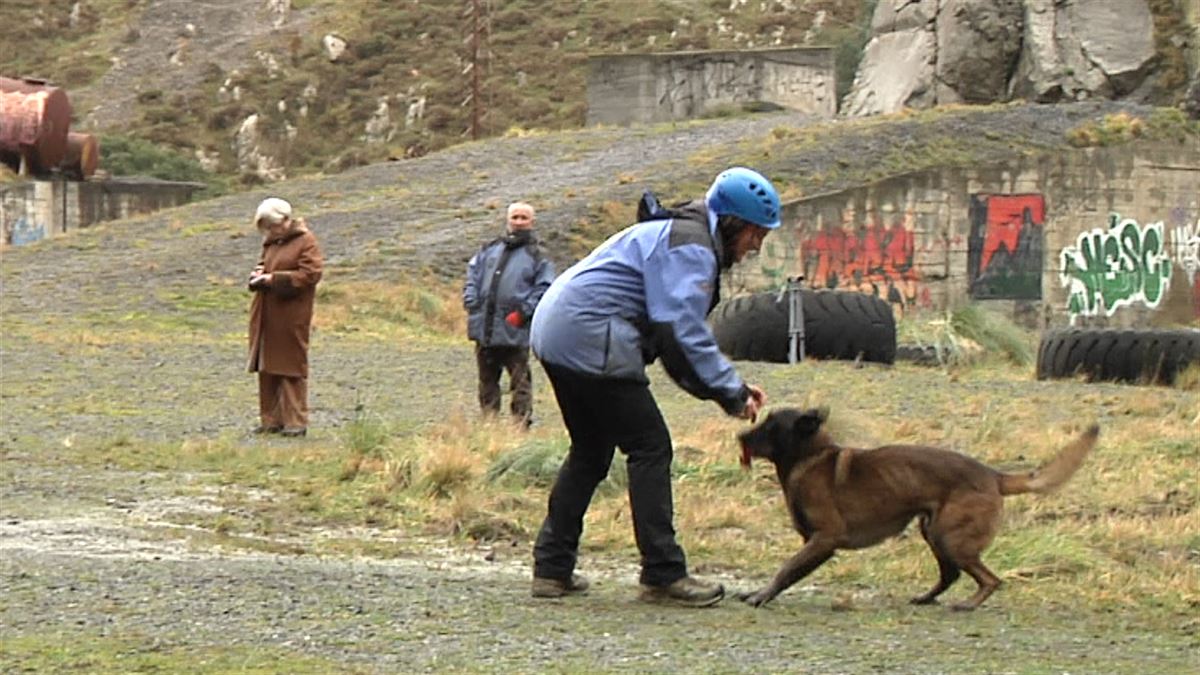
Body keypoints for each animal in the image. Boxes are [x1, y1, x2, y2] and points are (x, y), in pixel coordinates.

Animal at [729, 403, 1099, 610]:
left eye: (770, 426)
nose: (740, 436)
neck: (810, 457)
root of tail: (994, 476)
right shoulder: (816, 543)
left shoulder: (824, 540)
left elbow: (786, 569)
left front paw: (761, 595)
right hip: (933, 532)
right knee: (951, 575)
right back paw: (927, 598)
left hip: (952, 538)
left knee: (990, 579)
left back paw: (968, 604)